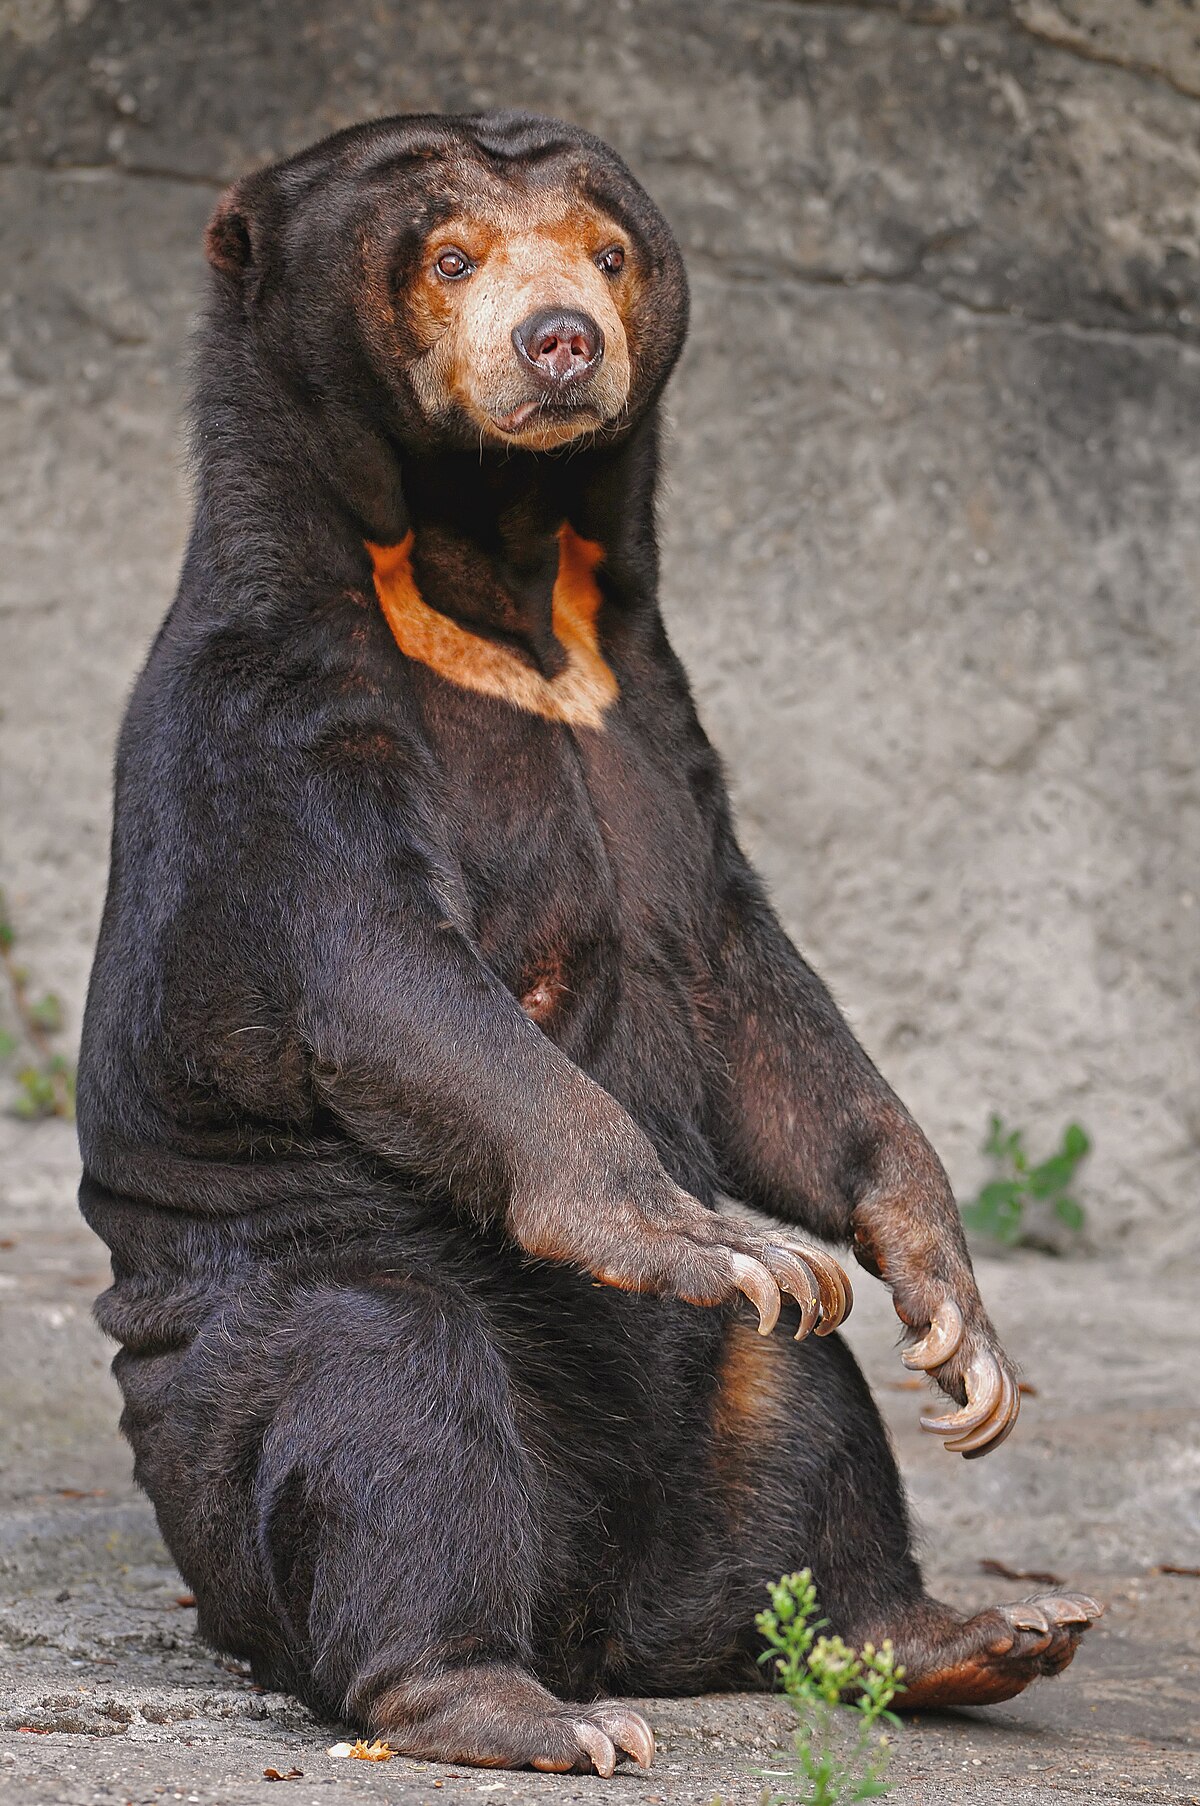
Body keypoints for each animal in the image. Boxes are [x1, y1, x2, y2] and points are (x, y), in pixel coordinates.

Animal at [79, 112, 1098, 1777]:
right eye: (448, 256)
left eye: (607, 251)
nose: (560, 339)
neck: (495, 583)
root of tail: (601, 1613)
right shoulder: (278, 710)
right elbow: (387, 977)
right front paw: (712, 1236)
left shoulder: (652, 712)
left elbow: (752, 995)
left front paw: (959, 1326)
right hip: (261, 1353)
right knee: (397, 1410)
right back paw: (516, 1705)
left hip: (718, 1427)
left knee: (807, 1407)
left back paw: (958, 1629)